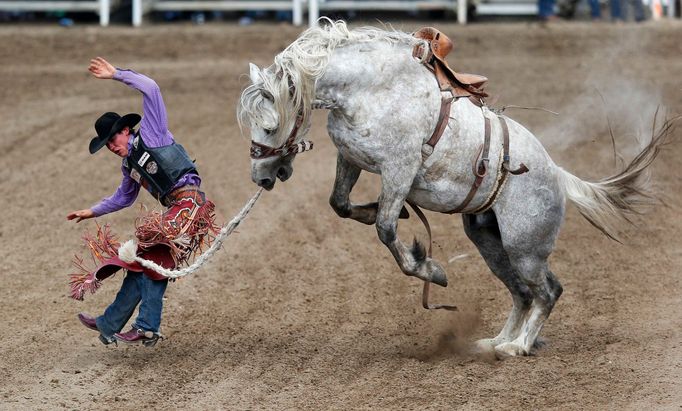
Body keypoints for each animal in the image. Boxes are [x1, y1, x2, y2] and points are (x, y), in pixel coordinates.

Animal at [238, 20, 668, 358]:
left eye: (270, 125)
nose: (262, 178)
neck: (369, 88)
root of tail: (558, 175)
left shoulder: (399, 168)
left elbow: (386, 229)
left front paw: (430, 267)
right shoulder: (351, 158)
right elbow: (339, 203)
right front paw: (382, 211)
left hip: (524, 246)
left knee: (548, 291)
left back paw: (518, 346)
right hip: (488, 240)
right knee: (522, 293)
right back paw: (497, 342)